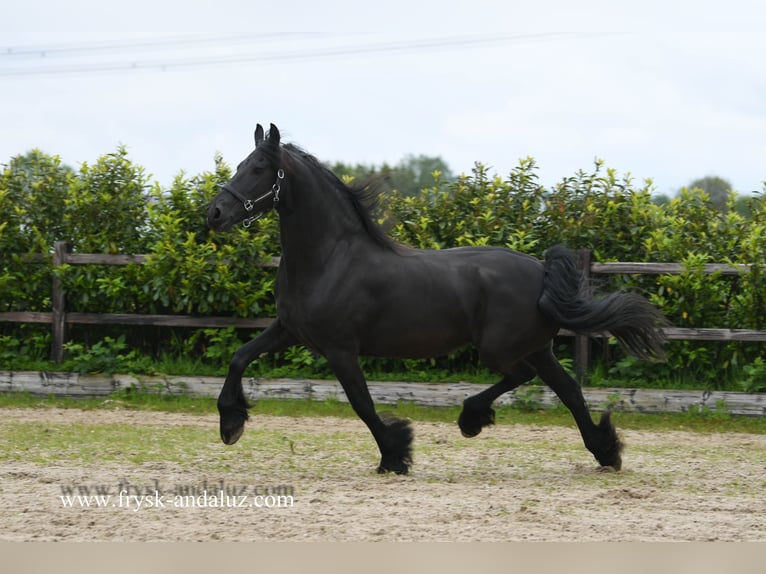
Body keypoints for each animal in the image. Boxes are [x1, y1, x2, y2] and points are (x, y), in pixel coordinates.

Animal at [206, 123, 667, 474]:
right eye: (240, 164)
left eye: (259, 168)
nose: (214, 213)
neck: (330, 258)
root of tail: (539, 270)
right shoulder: (290, 330)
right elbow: (240, 357)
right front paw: (231, 423)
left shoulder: (340, 349)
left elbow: (362, 404)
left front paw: (396, 454)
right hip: (538, 347)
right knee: (568, 389)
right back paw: (605, 452)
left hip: (502, 348)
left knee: (521, 376)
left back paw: (472, 418)